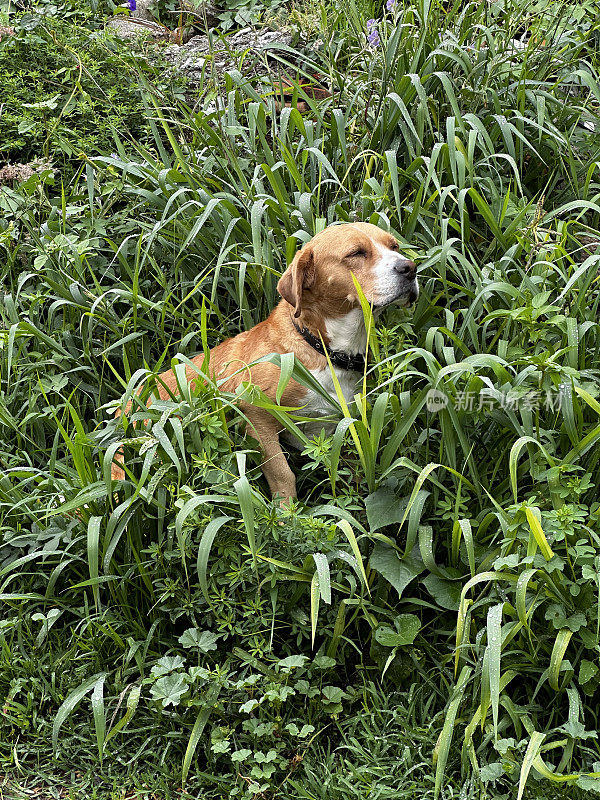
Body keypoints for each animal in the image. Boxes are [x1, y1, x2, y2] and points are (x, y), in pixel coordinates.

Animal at [111, 223, 418, 500]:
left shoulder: (344, 421)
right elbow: (283, 472)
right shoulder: (257, 415)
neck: (323, 348)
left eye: (394, 246)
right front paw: (285, 514)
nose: (410, 268)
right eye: (356, 253)